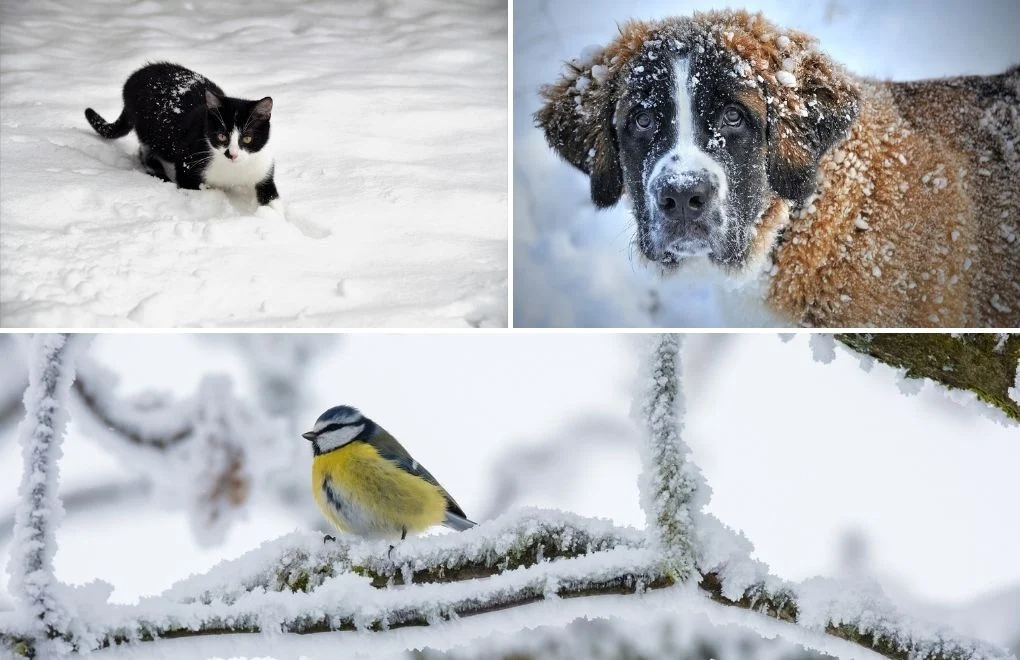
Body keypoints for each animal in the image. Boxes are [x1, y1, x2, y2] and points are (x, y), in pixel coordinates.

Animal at [83, 62, 281, 214]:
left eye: (247, 139)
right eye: (221, 136)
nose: (231, 154)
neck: (233, 170)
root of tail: (134, 77)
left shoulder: (263, 167)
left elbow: (272, 198)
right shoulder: (188, 163)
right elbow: (191, 186)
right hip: (149, 129)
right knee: (146, 151)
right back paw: (158, 172)